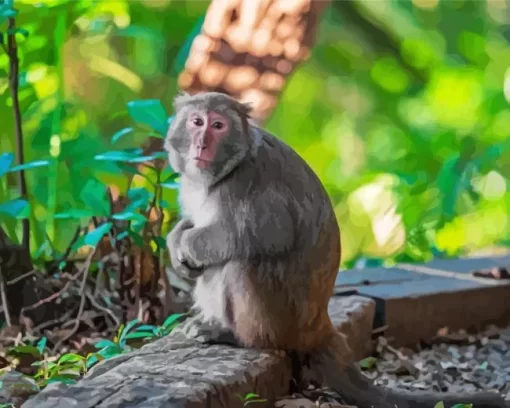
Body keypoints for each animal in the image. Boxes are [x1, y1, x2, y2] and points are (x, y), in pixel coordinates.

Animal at [164, 92, 506, 408]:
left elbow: (266, 234)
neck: (224, 171)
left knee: (240, 264)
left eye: (218, 126)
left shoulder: (244, 182)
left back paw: (239, 336)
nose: (201, 145)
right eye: (197, 122)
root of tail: (319, 326)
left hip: (282, 316)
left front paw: (187, 244)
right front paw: (176, 242)